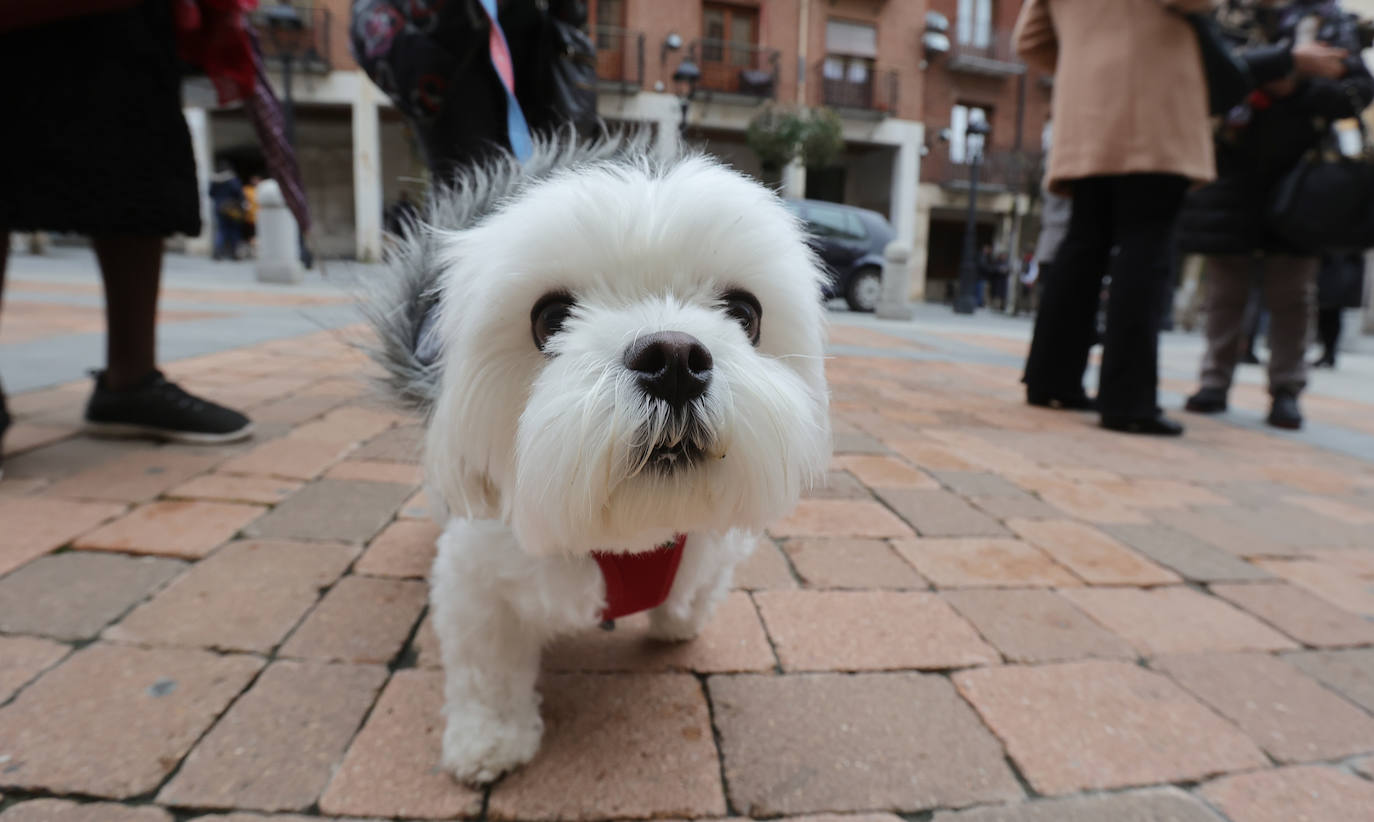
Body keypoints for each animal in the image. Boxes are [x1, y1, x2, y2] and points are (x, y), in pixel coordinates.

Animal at [365, 138, 829, 791]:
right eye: (549, 317)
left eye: (745, 312)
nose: (675, 358)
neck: (629, 536)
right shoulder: (476, 581)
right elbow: (487, 670)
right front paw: (488, 740)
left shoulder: (714, 549)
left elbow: (697, 589)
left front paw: (677, 620)